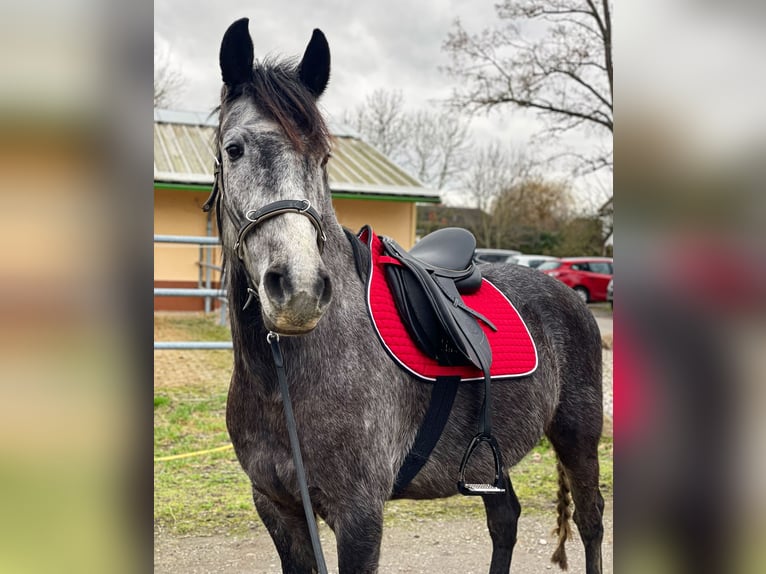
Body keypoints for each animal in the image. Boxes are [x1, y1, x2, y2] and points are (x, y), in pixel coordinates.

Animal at [210, 18, 608, 574]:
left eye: (323, 158)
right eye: (234, 149)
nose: (300, 289)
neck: (281, 379)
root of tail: (569, 295)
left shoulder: (359, 514)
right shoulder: (277, 507)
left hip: (577, 437)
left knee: (590, 519)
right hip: (489, 457)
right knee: (505, 518)